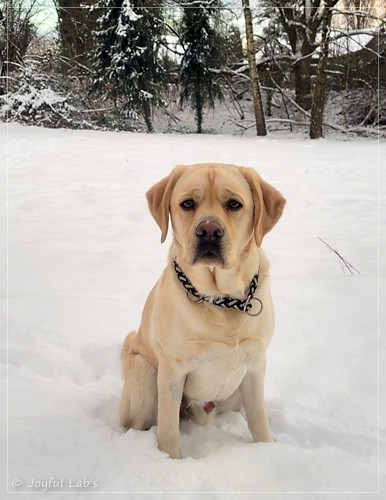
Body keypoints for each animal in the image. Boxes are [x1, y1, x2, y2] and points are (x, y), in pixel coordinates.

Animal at [119, 163, 284, 458]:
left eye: (234, 204)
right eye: (187, 203)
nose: (209, 230)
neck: (220, 300)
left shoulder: (255, 365)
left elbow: (259, 419)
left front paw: (267, 450)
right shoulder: (172, 372)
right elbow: (169, 429)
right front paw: (171, 460)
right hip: (144, 376)